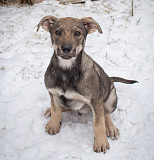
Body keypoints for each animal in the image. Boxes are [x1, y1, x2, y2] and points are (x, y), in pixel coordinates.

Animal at [37, 15, 137, 152]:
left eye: (77, 33)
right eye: (57, 32)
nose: (66, 48)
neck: (66, 71)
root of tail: (110, 79)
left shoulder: (96, 100)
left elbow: (98, 123)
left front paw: (101, 143)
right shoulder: (53, 93)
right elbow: (56, 109)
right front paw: (53, 124)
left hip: (111, 97)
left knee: (106, 113)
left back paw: (111, 128)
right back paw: (50, 110)